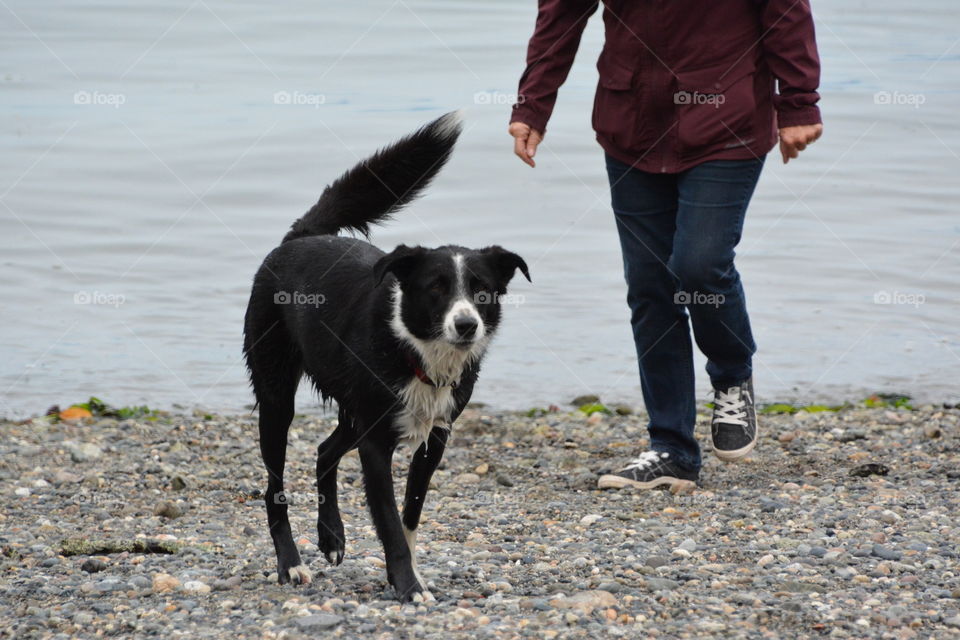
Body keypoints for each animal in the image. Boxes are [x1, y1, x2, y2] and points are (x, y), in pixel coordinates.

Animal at [240, 112, 524, 604]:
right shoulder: (376, 445)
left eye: (482, 290)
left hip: (355, 407)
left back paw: (331, 536)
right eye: (436, 288)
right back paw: (290, 563)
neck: (416, 351)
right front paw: (408, 586)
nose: (466, 325)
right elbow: (390, 520)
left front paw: (411, 575)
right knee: (275, 487)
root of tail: (303, 237)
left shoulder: (434, 438)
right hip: (277, 399)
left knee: (325, 450)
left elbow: (410, 513)